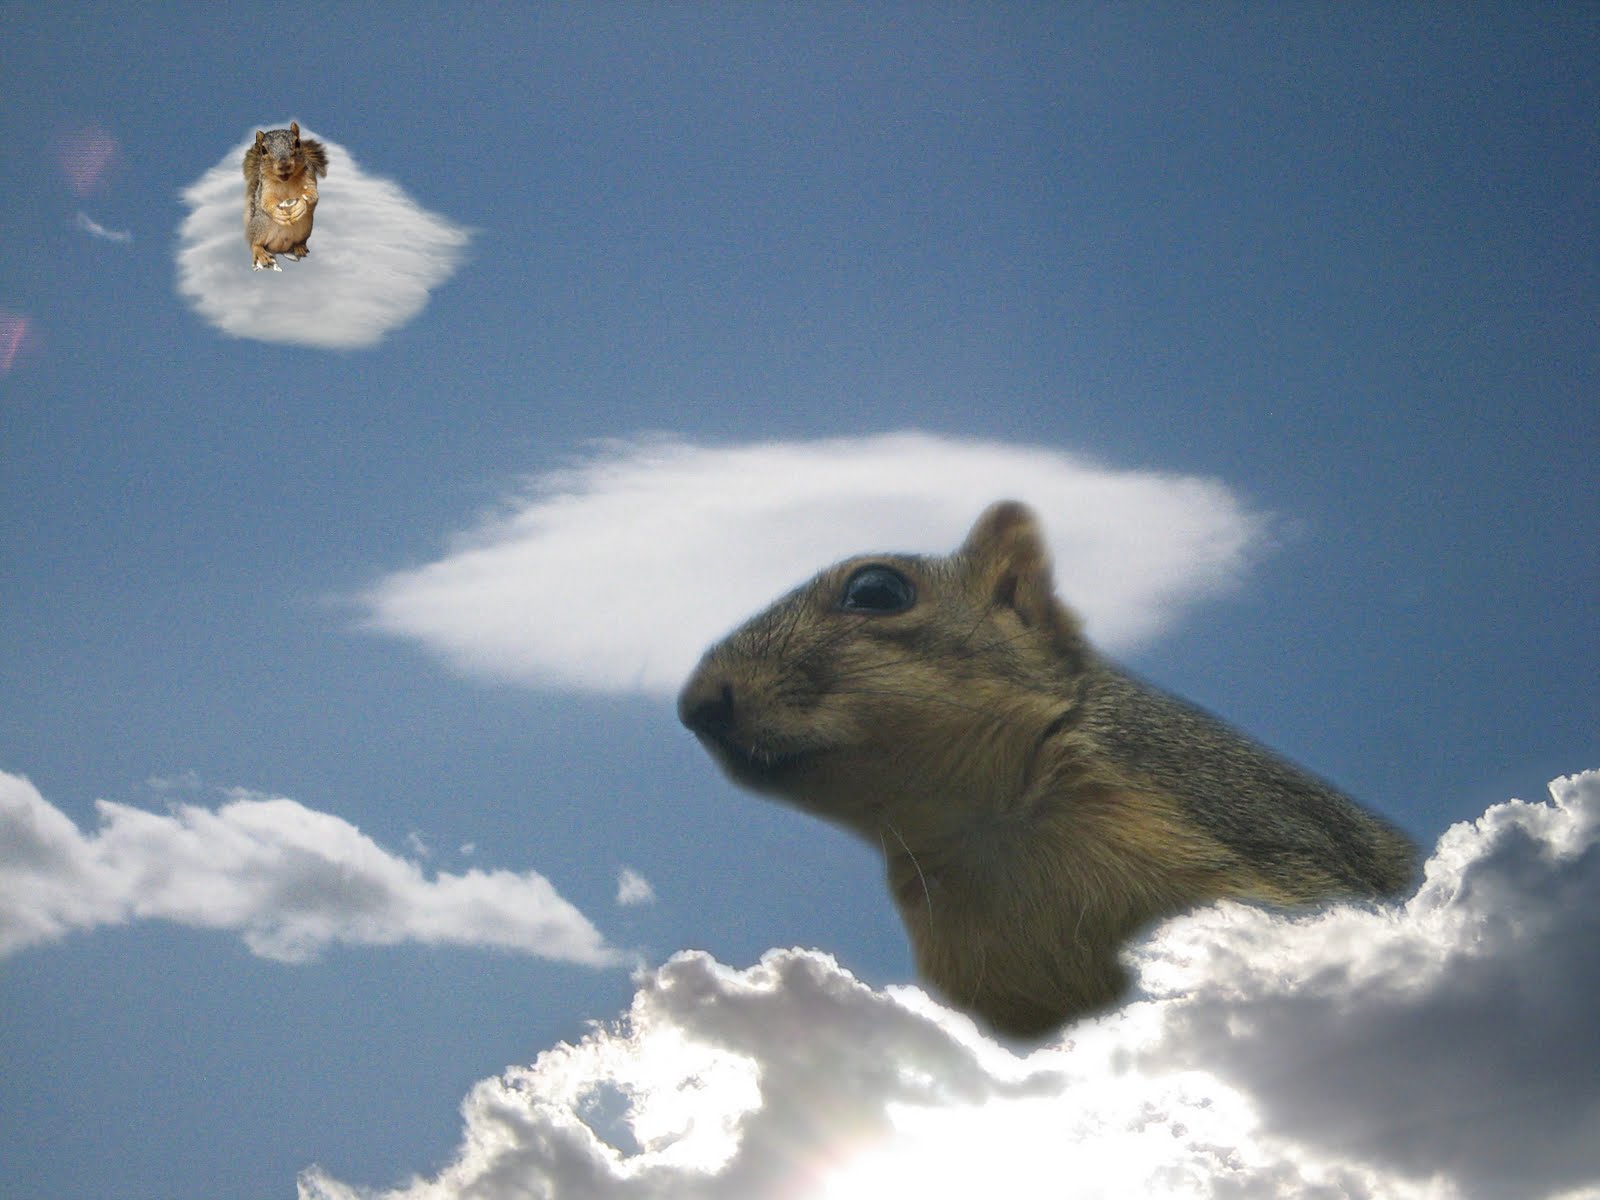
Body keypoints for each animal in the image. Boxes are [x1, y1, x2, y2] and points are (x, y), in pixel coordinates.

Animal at [242, 121, 327, 271]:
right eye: (263, 150)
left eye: (298, 143)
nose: (284, 164)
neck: (286, 180)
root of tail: (279, 249)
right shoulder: (265, 187)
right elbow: (266, 202)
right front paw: (278, 213)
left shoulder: (309, 178)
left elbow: (312, 195)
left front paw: (300, 207)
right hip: (261, 225)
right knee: (255, 243)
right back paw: (261, 254)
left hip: (305, 227)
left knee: (298, 241)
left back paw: (299, 247)